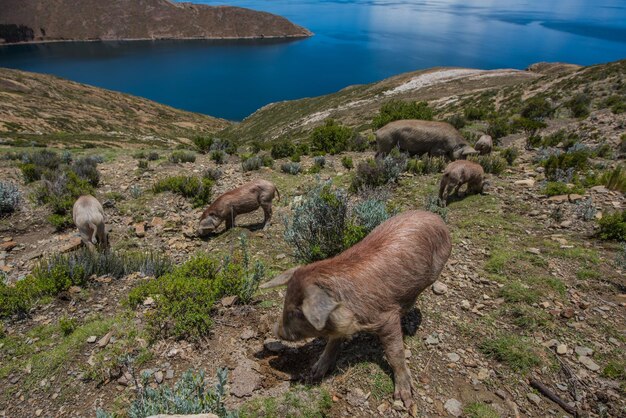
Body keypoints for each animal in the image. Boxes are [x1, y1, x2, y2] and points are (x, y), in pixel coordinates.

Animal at [260, 211, 450, 410]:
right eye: (285, 302)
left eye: (297, 312)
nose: (276, 330)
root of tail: (434, 216)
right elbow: (332, 343)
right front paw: (315, 371)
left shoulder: (387, 316)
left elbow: (395, 352)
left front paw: (405, 399)